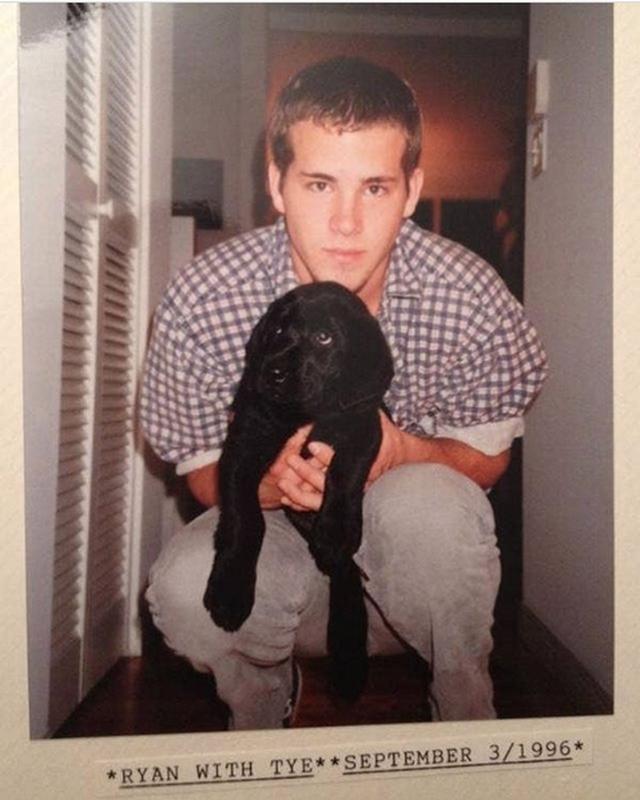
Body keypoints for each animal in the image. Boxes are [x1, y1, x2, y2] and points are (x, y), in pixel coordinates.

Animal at [205, 282, 396, 700]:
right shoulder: (245, 441)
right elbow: (247, 519)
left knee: (345, 572)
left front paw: (335, 530)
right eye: (277, 330)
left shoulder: (364, 428)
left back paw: (348, 657)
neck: (306, 412)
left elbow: (344, 477)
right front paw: (230, 590)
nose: (272, 371)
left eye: (324, 337)